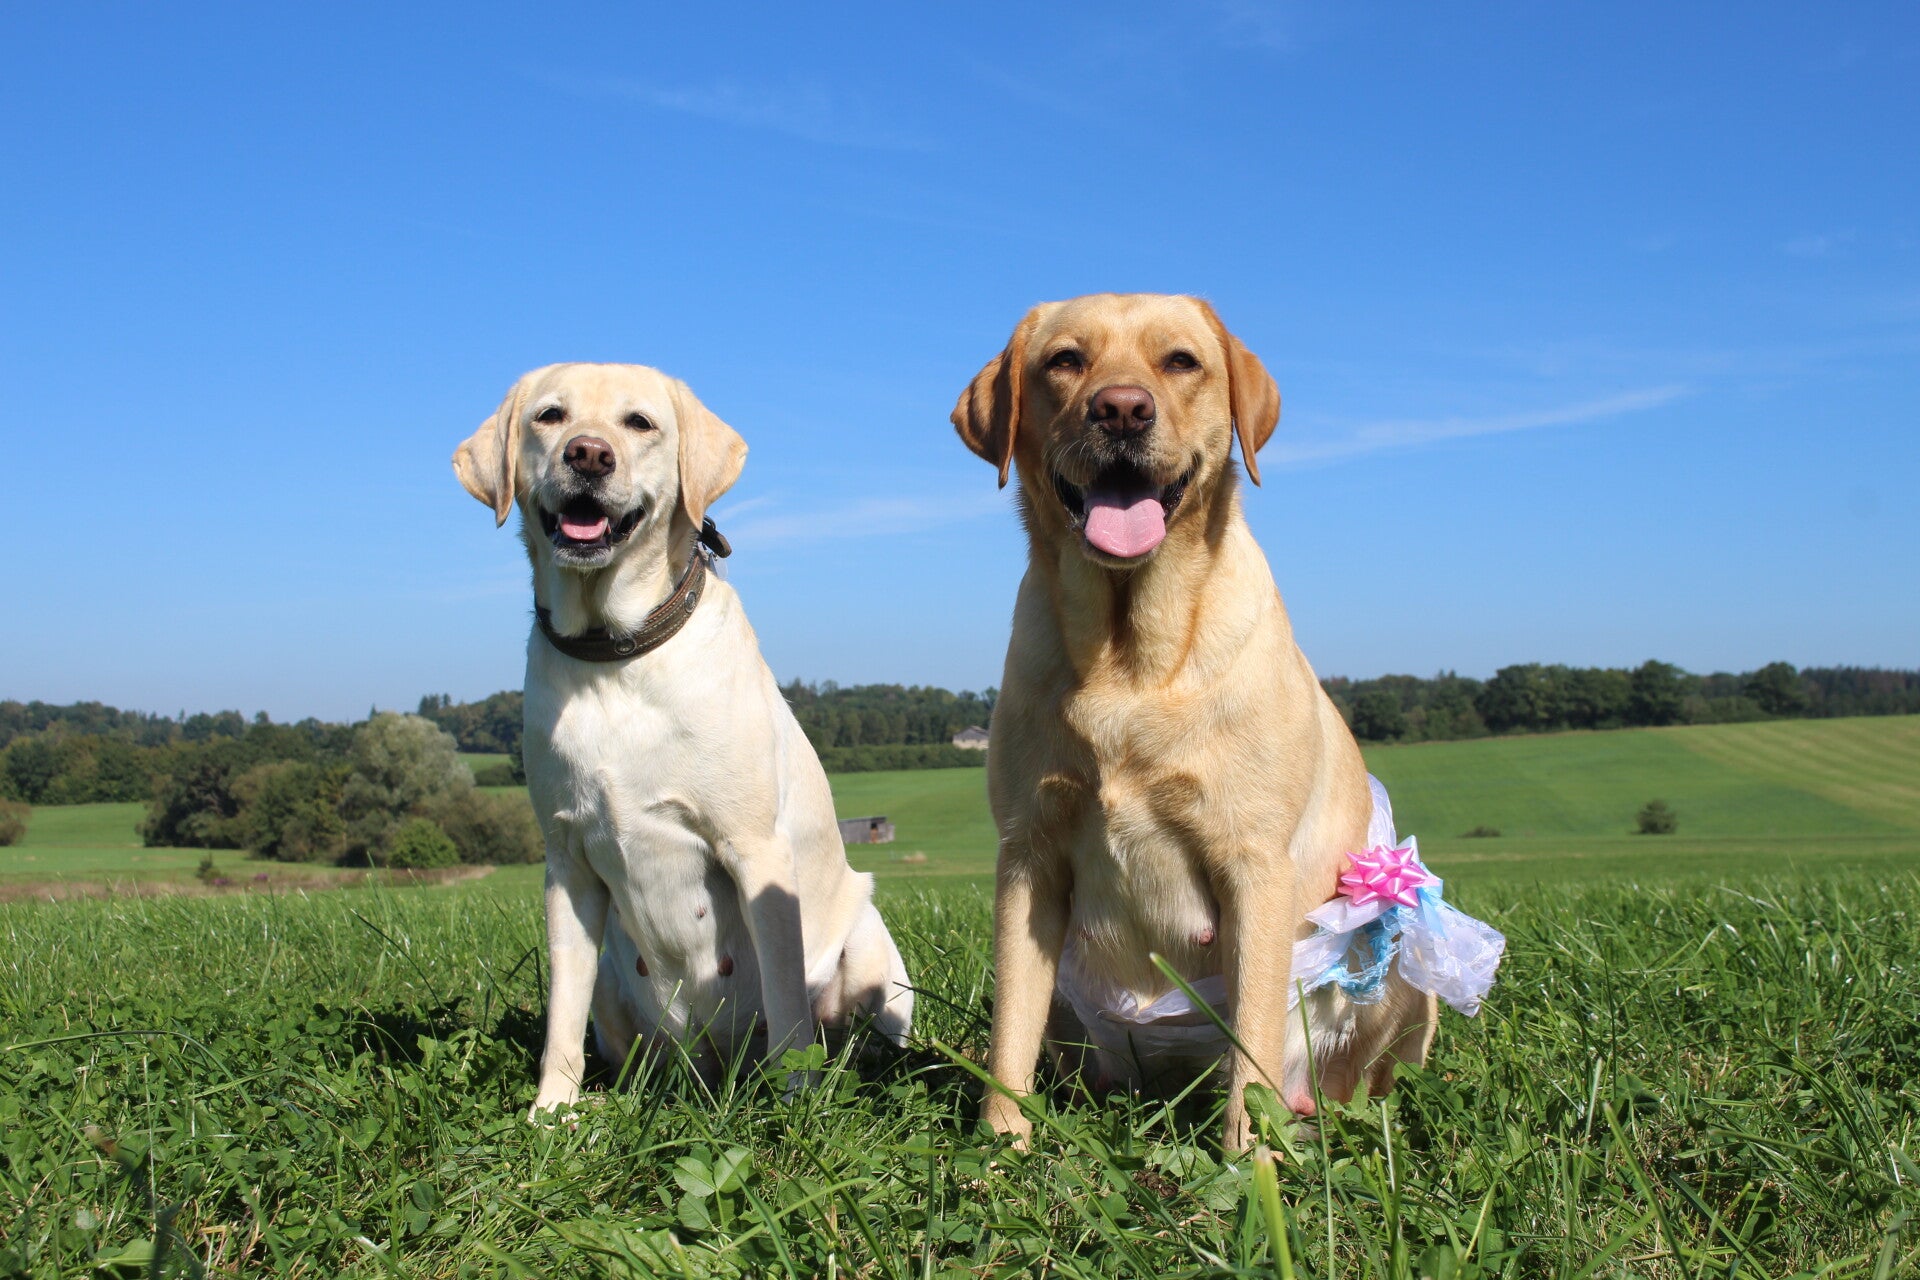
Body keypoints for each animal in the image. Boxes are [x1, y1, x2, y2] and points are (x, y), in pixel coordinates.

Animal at [454, 362, 913, 1116]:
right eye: (549, 416)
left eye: (639, 423)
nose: (588, 454)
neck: (614, 655)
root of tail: (716, 1069)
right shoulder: (567, 864)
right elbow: (561, 1013)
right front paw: (551, 1112)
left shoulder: (754, 851)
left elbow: (786, 1001)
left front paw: (796, 1104)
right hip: (617, 987)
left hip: (869, 946)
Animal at [951, 295, 1436, 1150]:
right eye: (1065, 361)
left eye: (1181, 362)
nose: (1121, 409)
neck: (1129, 652)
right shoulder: (1027, 857)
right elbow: (1010, 1029)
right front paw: (1001, 1147)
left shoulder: (1254, 865)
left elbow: (1253, 1038)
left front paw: (1249, 1162)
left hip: (1408, 977)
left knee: (1362, 1075)